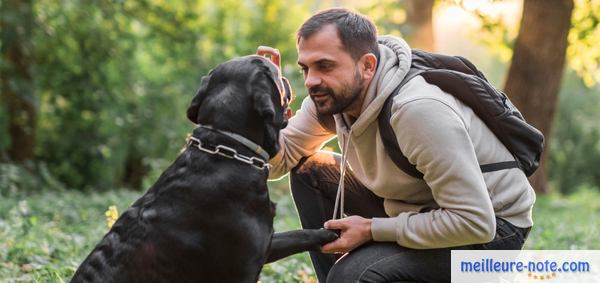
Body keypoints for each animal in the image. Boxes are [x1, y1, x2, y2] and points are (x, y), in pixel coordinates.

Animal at [70, 56, 338, 283]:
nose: (287, 74)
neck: (226, 145)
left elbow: (299, 235)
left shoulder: (267, 243)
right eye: (275, 72)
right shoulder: (245, 265)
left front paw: (329, 234)